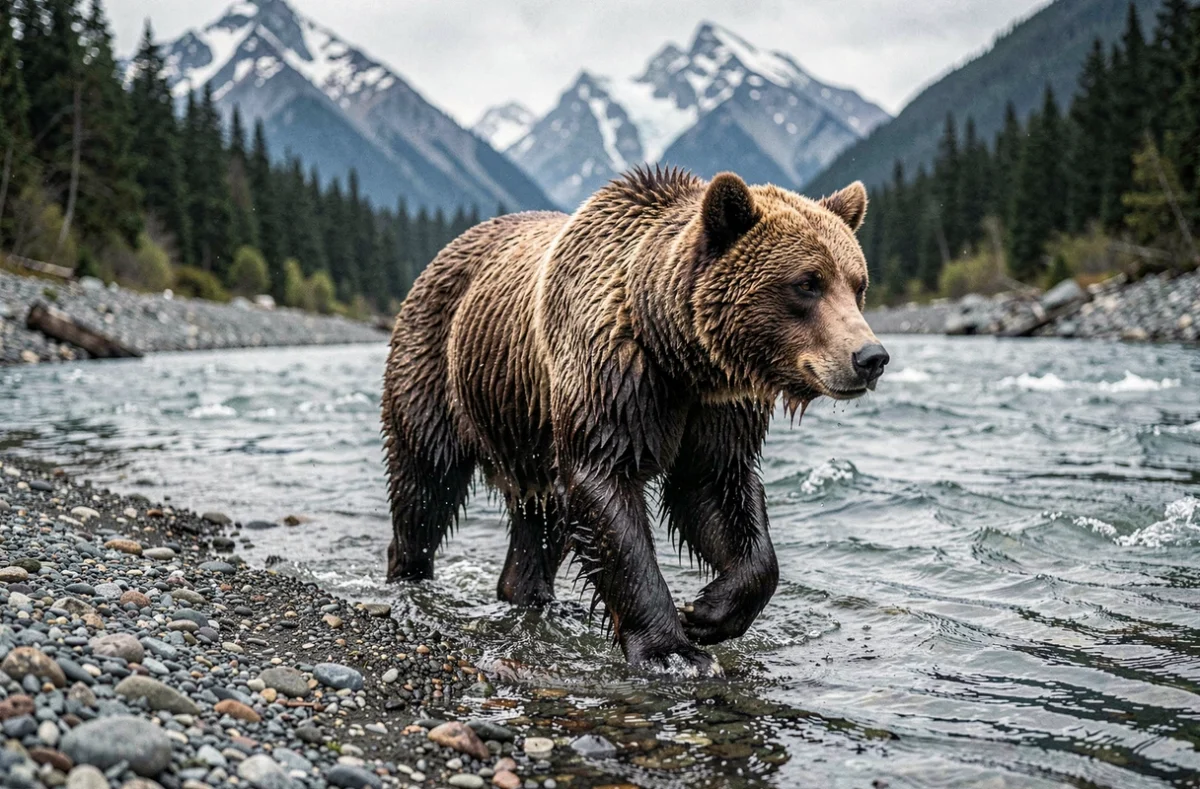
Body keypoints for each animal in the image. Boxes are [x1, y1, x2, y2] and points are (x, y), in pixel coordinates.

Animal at [381, 167, 888, 674]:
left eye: (858, 284)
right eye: (807, 283)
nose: (870, 357)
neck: (677, 354)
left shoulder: (717, 412)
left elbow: (716, 493)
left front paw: (708, 610)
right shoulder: (615, 381)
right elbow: (609, 499)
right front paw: (673, 650)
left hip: (529, 429)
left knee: (538, 519)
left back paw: (536, 598)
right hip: (437, 369)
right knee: (425, 484)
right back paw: (410, 579)